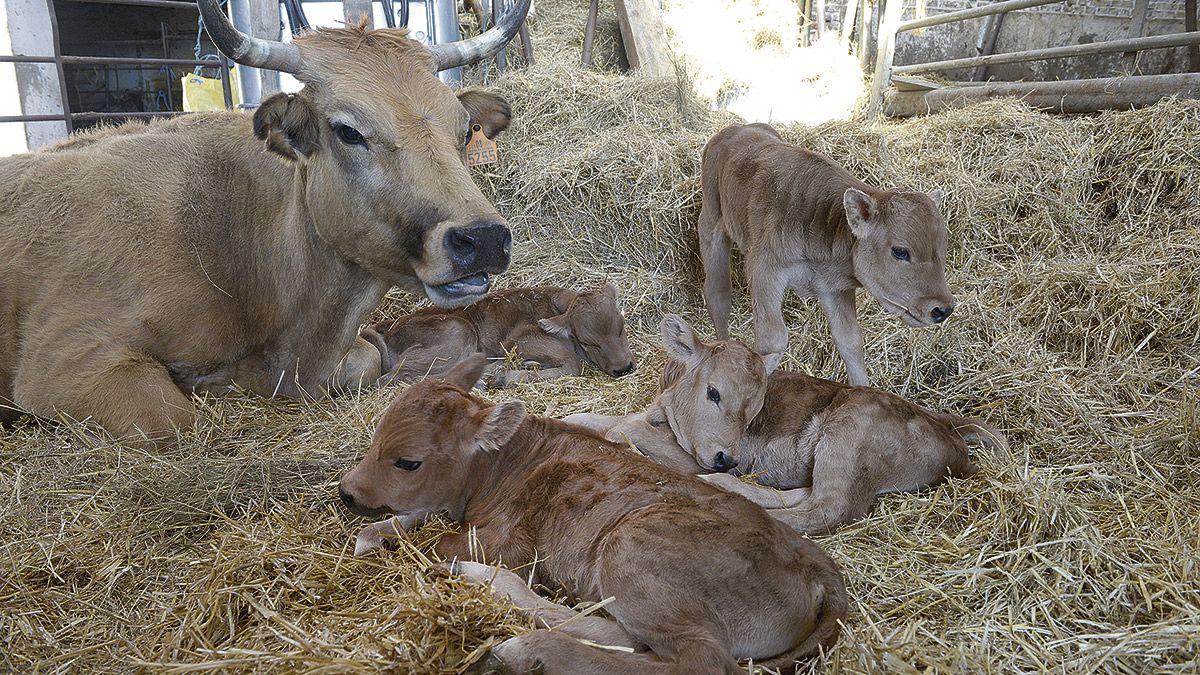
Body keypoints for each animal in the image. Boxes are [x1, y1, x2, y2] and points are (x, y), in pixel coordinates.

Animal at [0, 1, 530, 451]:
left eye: (463, 129)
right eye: (348, 131)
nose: (483, 238)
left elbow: (367, 359)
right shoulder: (66, 360)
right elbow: (172, 419)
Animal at [336, 355, 844, 667]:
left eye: (408, 461)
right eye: (375, 436)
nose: (346, 493)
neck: (503, 464)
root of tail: (817, 562)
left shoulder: (506, 541)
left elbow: (437, 543)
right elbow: (414, 515)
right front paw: (373, 533)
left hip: (632, 549)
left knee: (699, 661)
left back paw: (521, 644)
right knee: (628, 639)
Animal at [362, 282, 638, 386]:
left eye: (621, 328)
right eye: (588, 342)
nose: (624, 367)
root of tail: (387, 325)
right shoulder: (520, 339)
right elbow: (573, 364)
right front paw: (510, 376)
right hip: (458, 332)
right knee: (397, 378)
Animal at [561, 312, 1003, 533]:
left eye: (755, 410)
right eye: (713, 392)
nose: (726, 459)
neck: (665, 410)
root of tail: (947, 427)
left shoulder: (689, 455)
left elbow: (619, 430)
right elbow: (588, 417)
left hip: (849, 435)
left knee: (826, 510)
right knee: (806, 496)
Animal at [700, 121, 950, 384]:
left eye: (943, 247)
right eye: (900, 252)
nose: (943, 309)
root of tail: (739, 127)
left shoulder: (835, 288)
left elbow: (851, 342)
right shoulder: (764, 268)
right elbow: (773, 340)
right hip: (710, 223)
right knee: (718, 294)